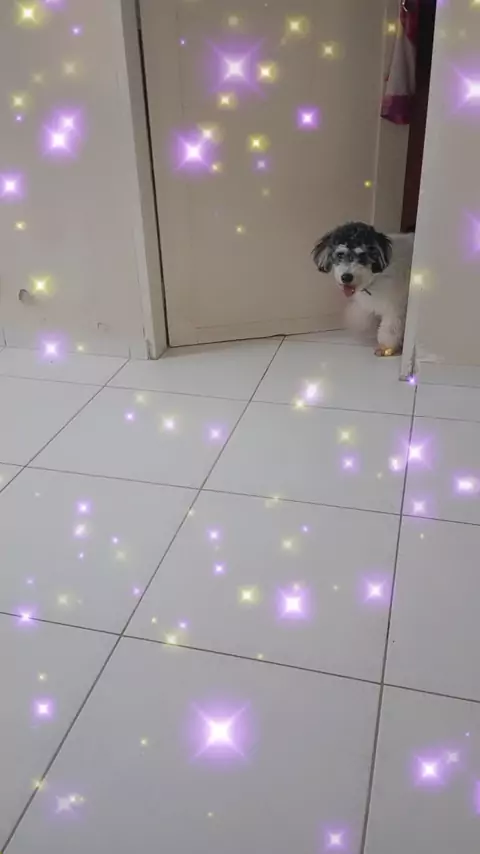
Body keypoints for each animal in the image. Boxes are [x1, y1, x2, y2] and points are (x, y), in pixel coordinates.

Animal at [312, 222, 414, 356]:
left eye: (362, 255)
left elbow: (389, 329)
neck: (377, 275)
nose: (346, 277)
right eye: (340, 254)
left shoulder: (394, 307)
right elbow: (362, 317)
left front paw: (385, 347)